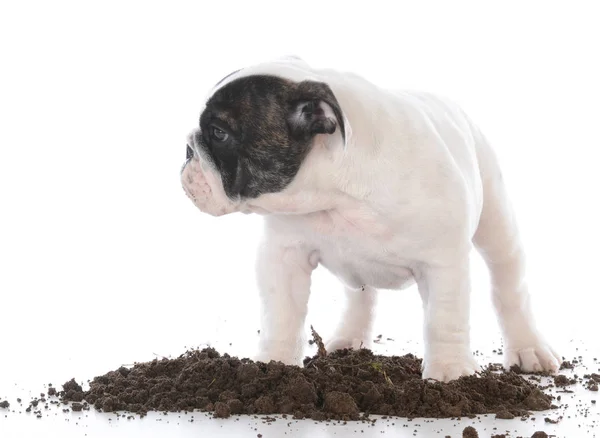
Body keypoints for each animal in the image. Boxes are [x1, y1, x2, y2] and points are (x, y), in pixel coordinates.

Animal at [180, 56, 560, 382]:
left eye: (218, 133)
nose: (186, 149)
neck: (339, 194)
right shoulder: (283, 256)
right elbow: (282, 315)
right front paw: (274, 366)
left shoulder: (443, 263)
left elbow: (444, 318)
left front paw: (449, 374)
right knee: (361, 298)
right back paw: (349, 340)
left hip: (497, 223)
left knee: (508, 286)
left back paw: (530, 349)